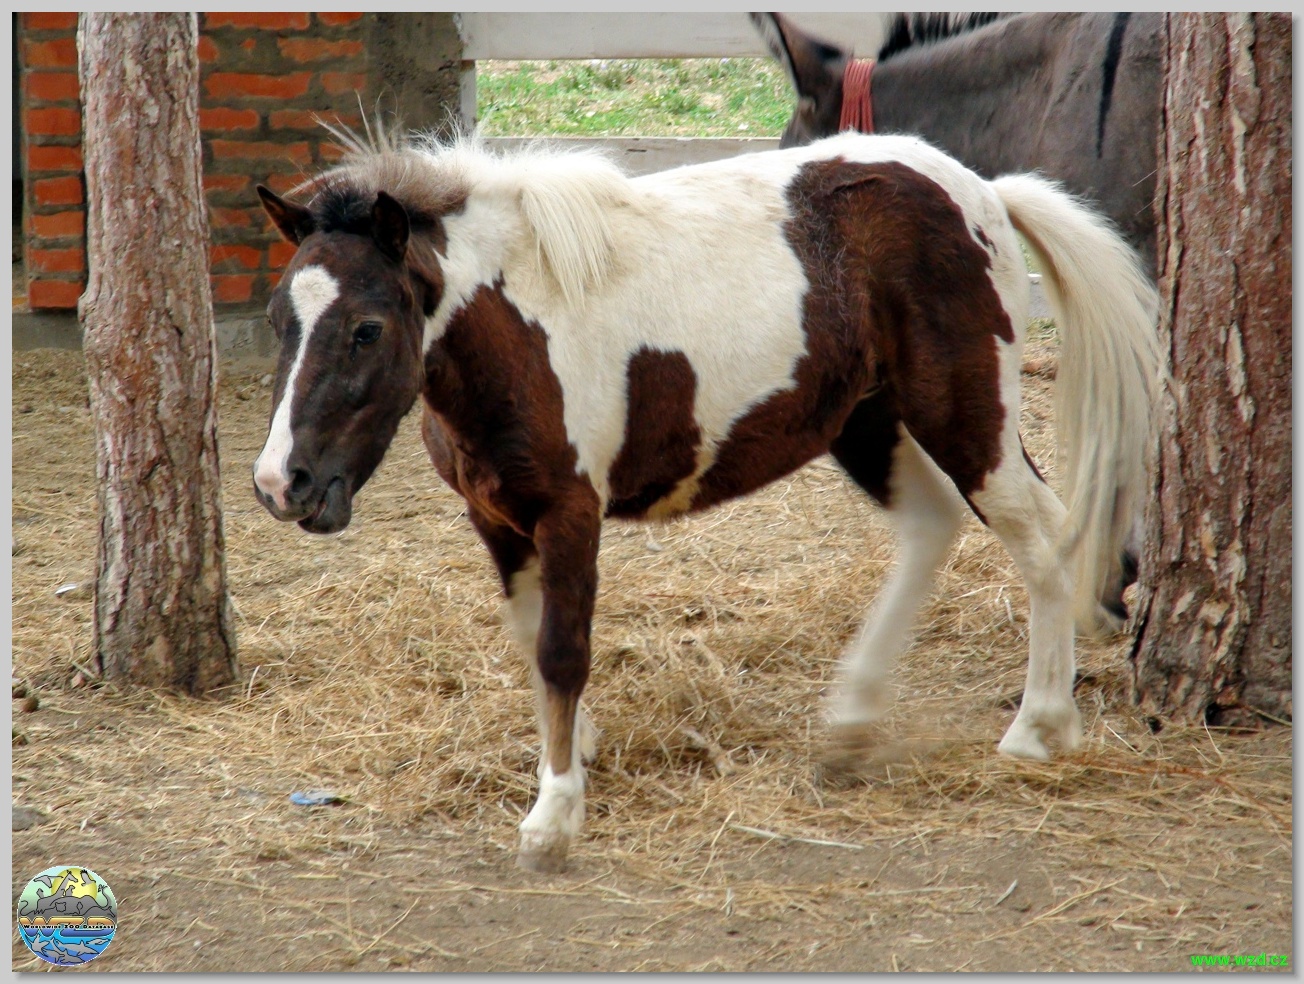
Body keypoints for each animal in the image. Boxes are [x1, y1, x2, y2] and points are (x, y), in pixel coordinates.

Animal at [252, 127, 1161, 873]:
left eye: (367, 328)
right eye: (277, 320)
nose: (281, 485)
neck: (518, 324)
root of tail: (985, 194)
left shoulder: (570, 514)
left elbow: (561, 651)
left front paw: (554, 818)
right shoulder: (498, 518)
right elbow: (528, 637)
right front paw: (577, 752)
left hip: (966, 415)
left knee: (1043, 537)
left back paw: (1039, 727)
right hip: (866, 421)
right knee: (932, 527)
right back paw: (850, 724)